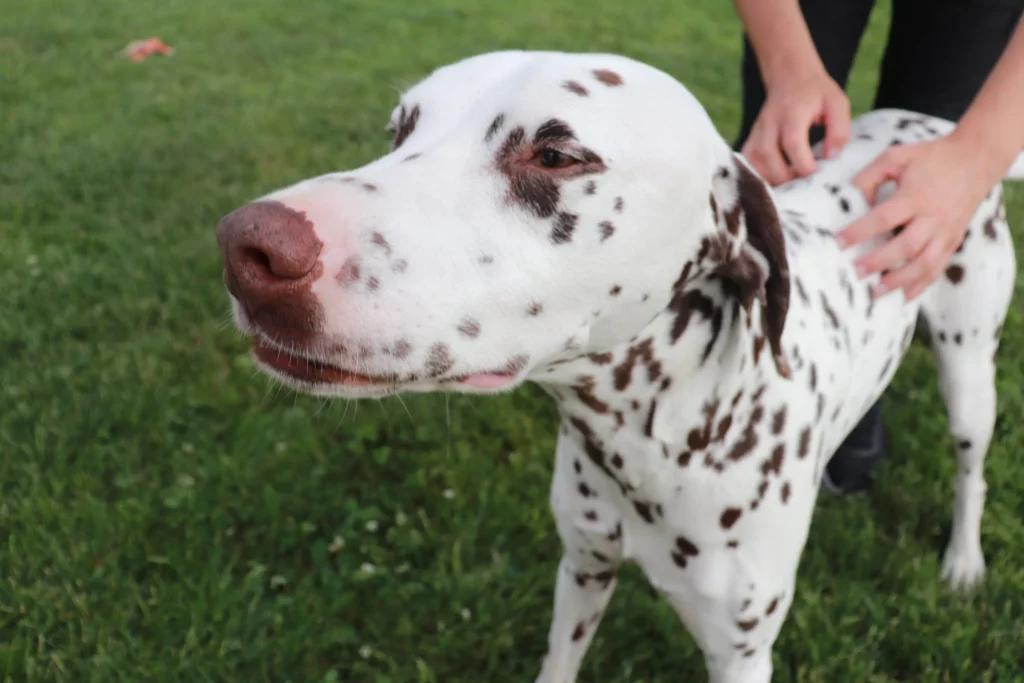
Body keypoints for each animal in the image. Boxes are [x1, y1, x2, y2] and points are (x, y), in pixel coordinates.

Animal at [211, 50, 1019, 679]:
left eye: (555, 156)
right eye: (399, 130)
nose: (247, 247)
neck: (651, 444)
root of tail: (932, 125)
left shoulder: (740, 653)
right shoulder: (582, 569)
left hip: (968, 378)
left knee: (970, 470)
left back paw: (964, 562)